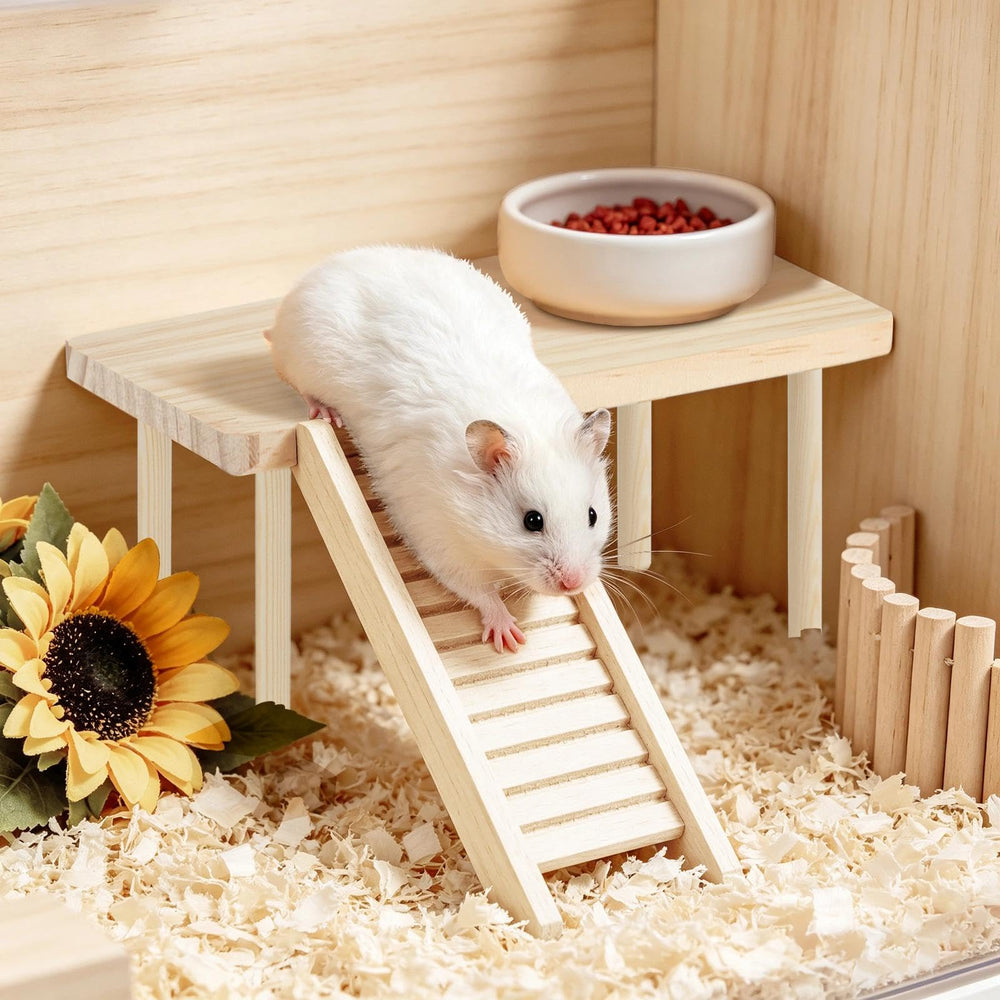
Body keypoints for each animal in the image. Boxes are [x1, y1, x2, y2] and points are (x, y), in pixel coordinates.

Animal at [268, 245, 613, 652]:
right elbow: (478, 591)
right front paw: (510, 639)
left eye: (592, 515)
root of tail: (320, 270)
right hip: (303, 357)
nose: (573, 583)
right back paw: (325, 412)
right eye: (532, 521)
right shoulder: (439, 539)